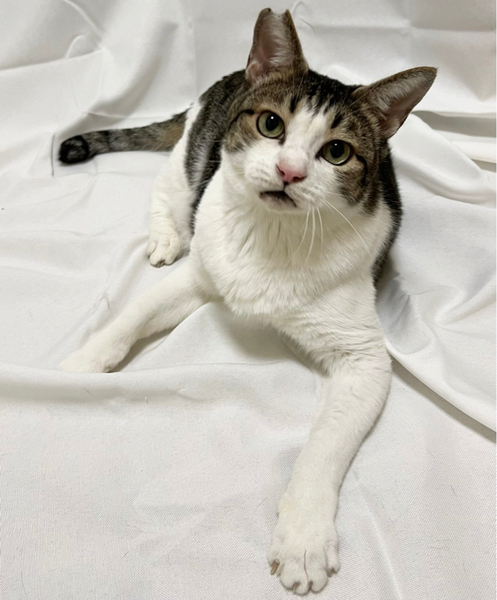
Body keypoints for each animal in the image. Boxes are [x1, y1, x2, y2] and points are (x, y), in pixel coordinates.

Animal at [58, 8, 436, 594]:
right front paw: (80, 365)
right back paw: (166, 234)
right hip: (191, 158)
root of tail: (231, 74)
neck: (273, 235)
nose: (290, 171)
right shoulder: (202, 272)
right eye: (271, 125)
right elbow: (130, 317)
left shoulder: (363, 357)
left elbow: (324, 446)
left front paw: (303, 538)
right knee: (165, 189)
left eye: (337, 151)